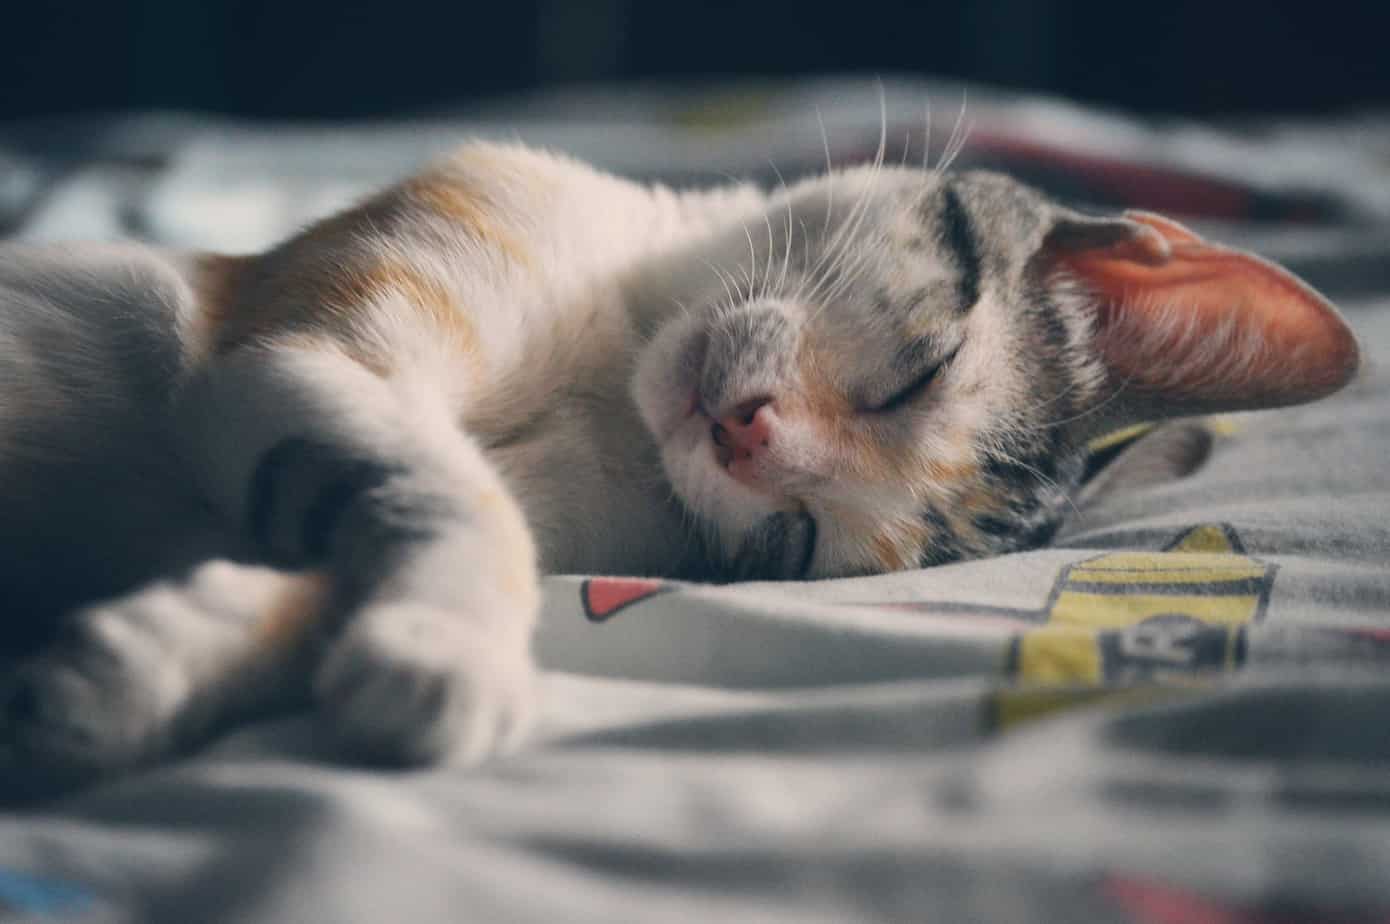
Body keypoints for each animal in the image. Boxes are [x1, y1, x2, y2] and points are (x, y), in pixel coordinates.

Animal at [0, 138, 1356, 800]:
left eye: (795, 539)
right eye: (920, 372)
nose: (747, 437)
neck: (614, 374)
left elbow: (345, 547)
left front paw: (146, 665)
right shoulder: (296, 343)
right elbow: (455, 495)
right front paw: (448, 652)